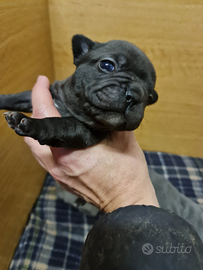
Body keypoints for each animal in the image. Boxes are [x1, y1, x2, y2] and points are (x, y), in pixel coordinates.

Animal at [0, 34, 159, 149]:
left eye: (149, 98)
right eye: (107, 65)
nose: (135, 95)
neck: (72, 107)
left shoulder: (84, 132)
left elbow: (58, 125)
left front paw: (33, 124)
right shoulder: (49, 92)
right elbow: (17, 98)